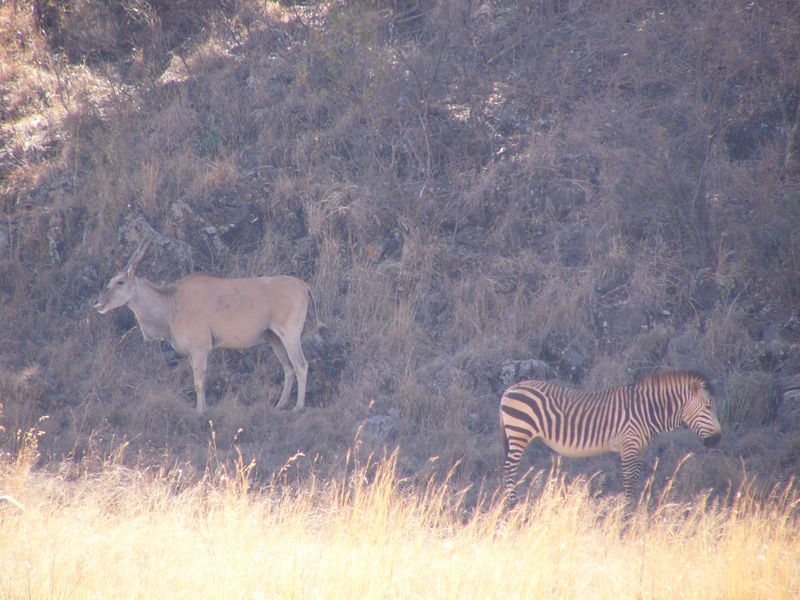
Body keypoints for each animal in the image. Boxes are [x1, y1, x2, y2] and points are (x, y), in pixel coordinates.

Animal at [95, 238, 318, 412]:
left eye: (120, 282)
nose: (99, 303)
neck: (173, 304)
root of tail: (304, 286)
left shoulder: (200, 349)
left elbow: (199, 381)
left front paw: (200, 411)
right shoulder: (192, 353)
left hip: (289, 335)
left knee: (300, 365)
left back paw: (298, 407)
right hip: (274, 338)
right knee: (288, 367)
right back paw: (281, 404)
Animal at [500, 370, 720, 506]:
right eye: (708, 407)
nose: (717, 440)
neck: (647, 411)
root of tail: (510, 389)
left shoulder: (640, 448)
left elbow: (636, 479)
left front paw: (634, 510)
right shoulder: (629, 445)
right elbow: (629, 480)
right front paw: (626, 515)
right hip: (519, 433)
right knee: (509, 470)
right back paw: (512, 506)